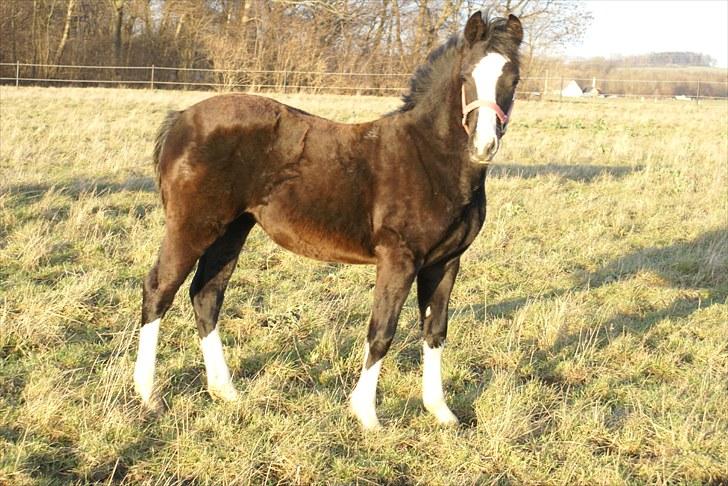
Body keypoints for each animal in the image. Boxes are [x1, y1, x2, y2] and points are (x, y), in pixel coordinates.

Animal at [134, 11, 522, 430]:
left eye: (513, 79)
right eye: (467, 76)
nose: (484, 146)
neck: (429, 159)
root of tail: (180, 119)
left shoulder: (446, 262)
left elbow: (435, 331)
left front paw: (441, 411)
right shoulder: (398, 259)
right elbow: (382, 331)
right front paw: (366, 414)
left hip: (231, 230)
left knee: (206, 296)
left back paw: (227, 392)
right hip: (192, 226)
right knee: (159, 290)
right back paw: (148, 396)